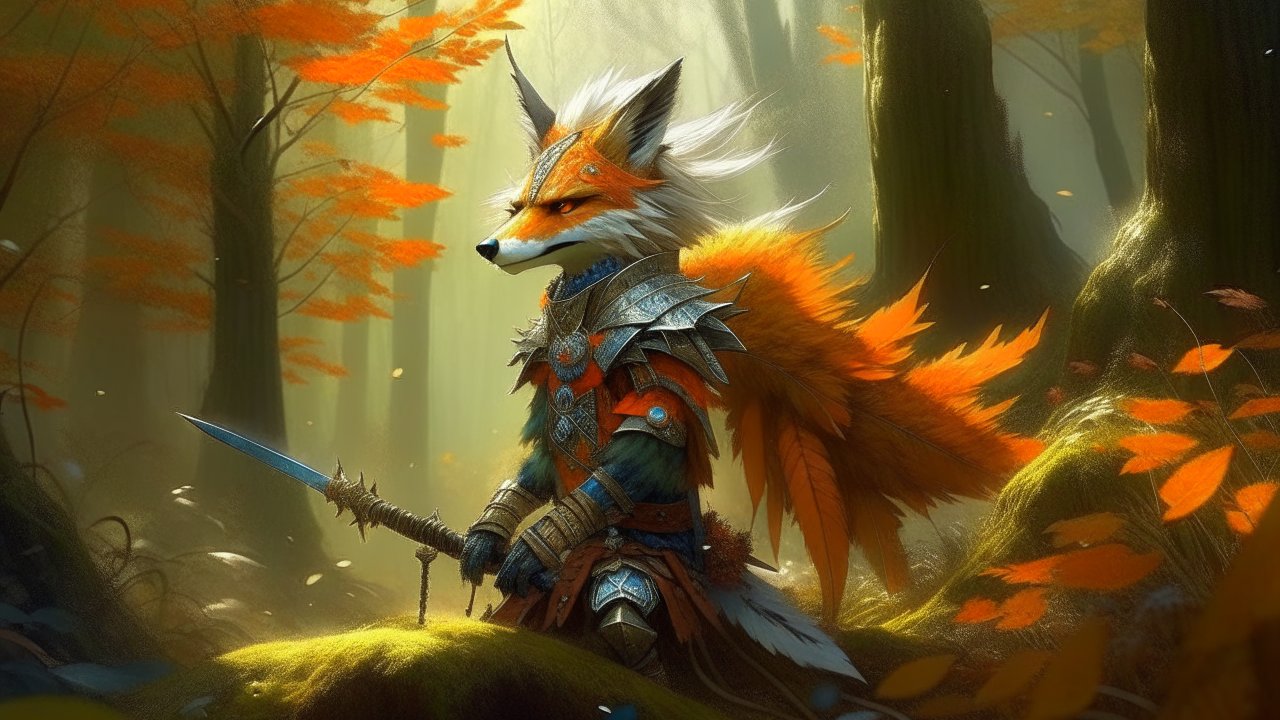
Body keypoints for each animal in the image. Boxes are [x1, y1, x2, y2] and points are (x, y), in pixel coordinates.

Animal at [458, 41, 1044, 693]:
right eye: (518, 206)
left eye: (565, 204)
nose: (488, 247)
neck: (587, 312)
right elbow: (536, 463)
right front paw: (486, 539)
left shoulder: (663, 345)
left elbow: (650, 434)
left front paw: (532, 548)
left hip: (643, 558)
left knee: (623, 611)